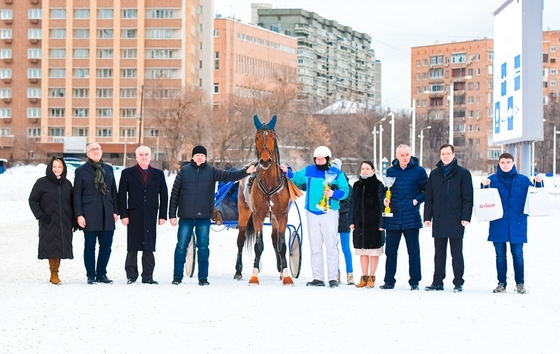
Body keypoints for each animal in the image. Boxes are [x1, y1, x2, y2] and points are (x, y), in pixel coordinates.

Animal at [234, 115, 294, 286]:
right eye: (257, 137)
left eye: (273, 137)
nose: (265, 160)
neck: (269, 184)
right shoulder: (257, 216)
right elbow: (258, 246)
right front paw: (254, 276)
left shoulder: (281, 215)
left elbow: (281, 245)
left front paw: (286, 275)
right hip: (244, 211)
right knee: (240, 239)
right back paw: (238, 271)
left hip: (273, 218)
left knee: (275, 239)